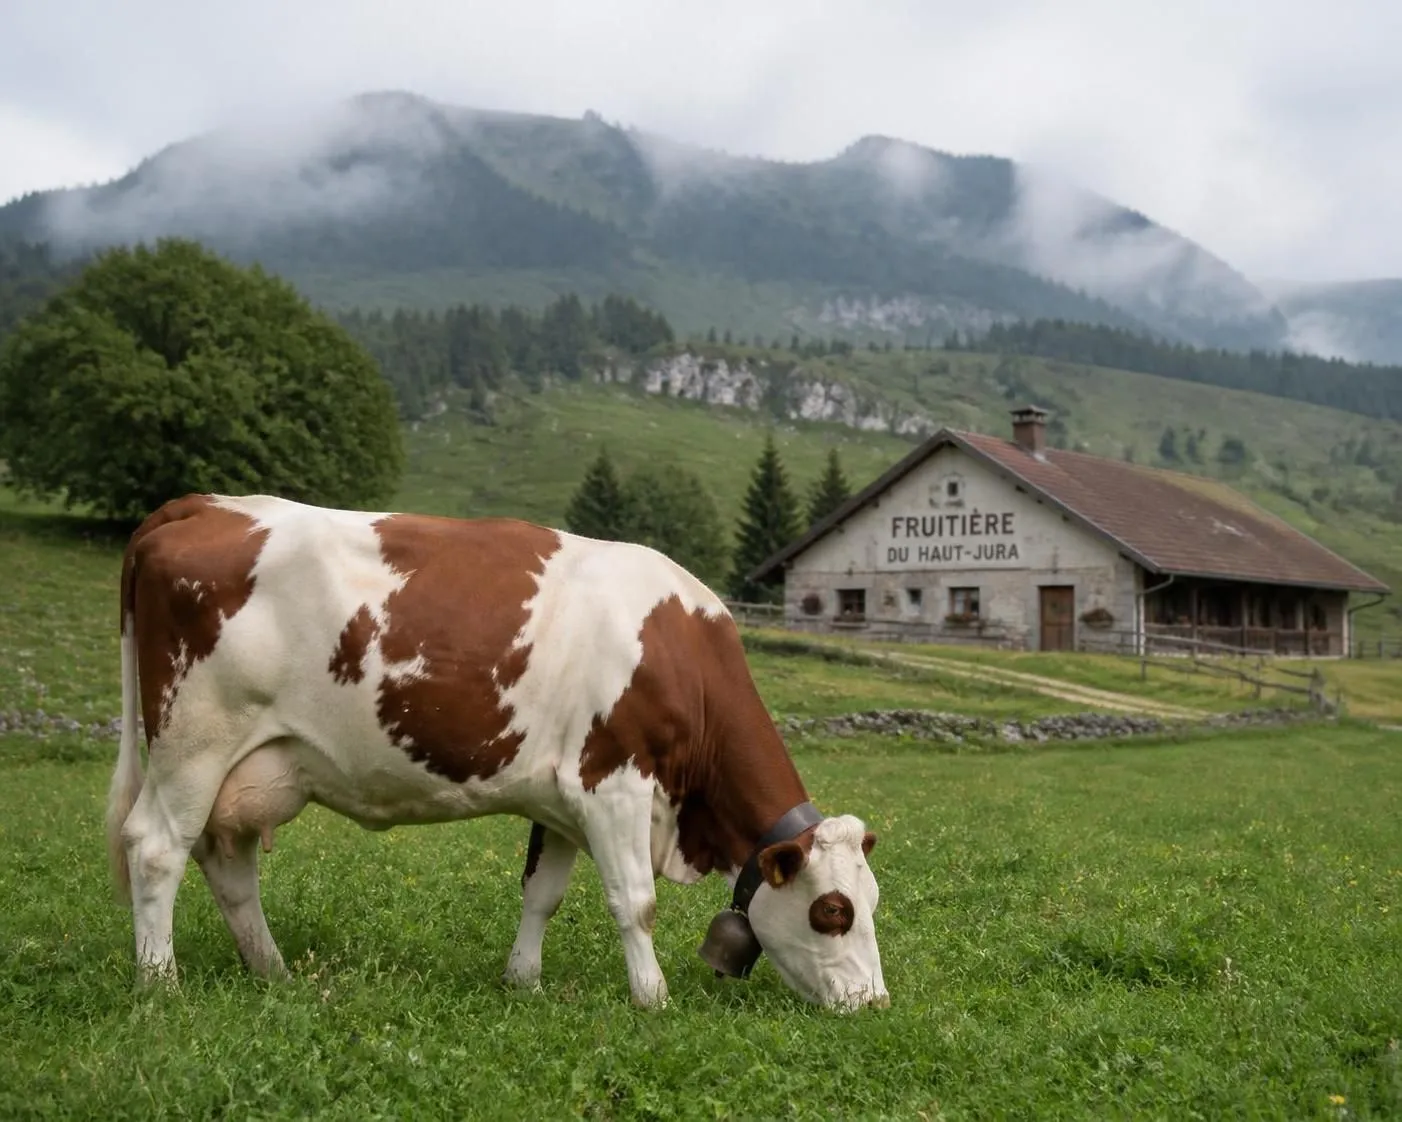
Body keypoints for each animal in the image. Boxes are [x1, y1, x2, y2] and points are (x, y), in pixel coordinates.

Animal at [105, 494, 888, 1010]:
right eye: (834, 911)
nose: (874, 1003)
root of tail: (202, 504)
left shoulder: (565, 797)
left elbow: (543, 893)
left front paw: (523, 980)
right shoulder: (616, 780)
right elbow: (634, 901)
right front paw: (653, 997)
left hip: (248, 766)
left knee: (227, 862)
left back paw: (273, 973)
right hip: (194, 740)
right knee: (156, 848)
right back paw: (160, 983)